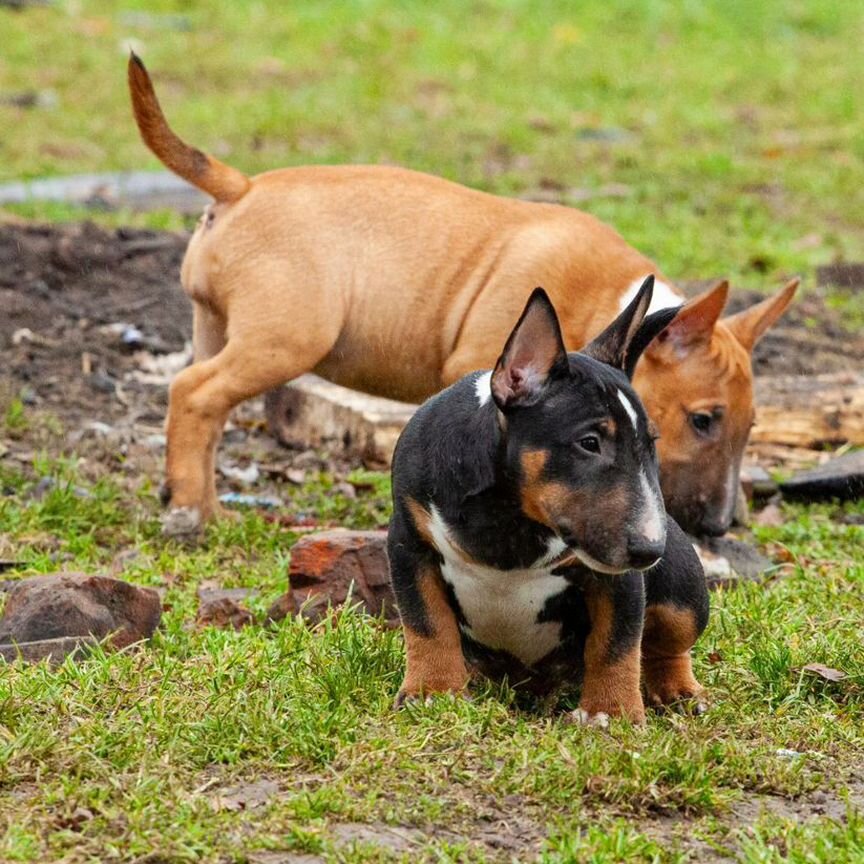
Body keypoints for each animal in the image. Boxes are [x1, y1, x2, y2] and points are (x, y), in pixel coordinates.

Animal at [128, 54, 796, 536]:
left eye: (750, 427)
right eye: (704, 420)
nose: (718, 528)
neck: (605, 298)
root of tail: (242, 187)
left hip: (216, 327)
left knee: (205, 409)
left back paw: (196, 499)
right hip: (286, 339)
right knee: (194, 393)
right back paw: (191, 514)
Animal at [388, 278, 704, 724]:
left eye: (650, 445)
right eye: (589, 442)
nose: (648, 551)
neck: (510, 514)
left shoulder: (617, 578)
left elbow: (618, 643)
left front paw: (611, 714)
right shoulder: (409, 543)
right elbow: (426, 622)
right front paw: (433, 691)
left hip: (684, 593)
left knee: (667, 645)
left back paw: (676, 690)